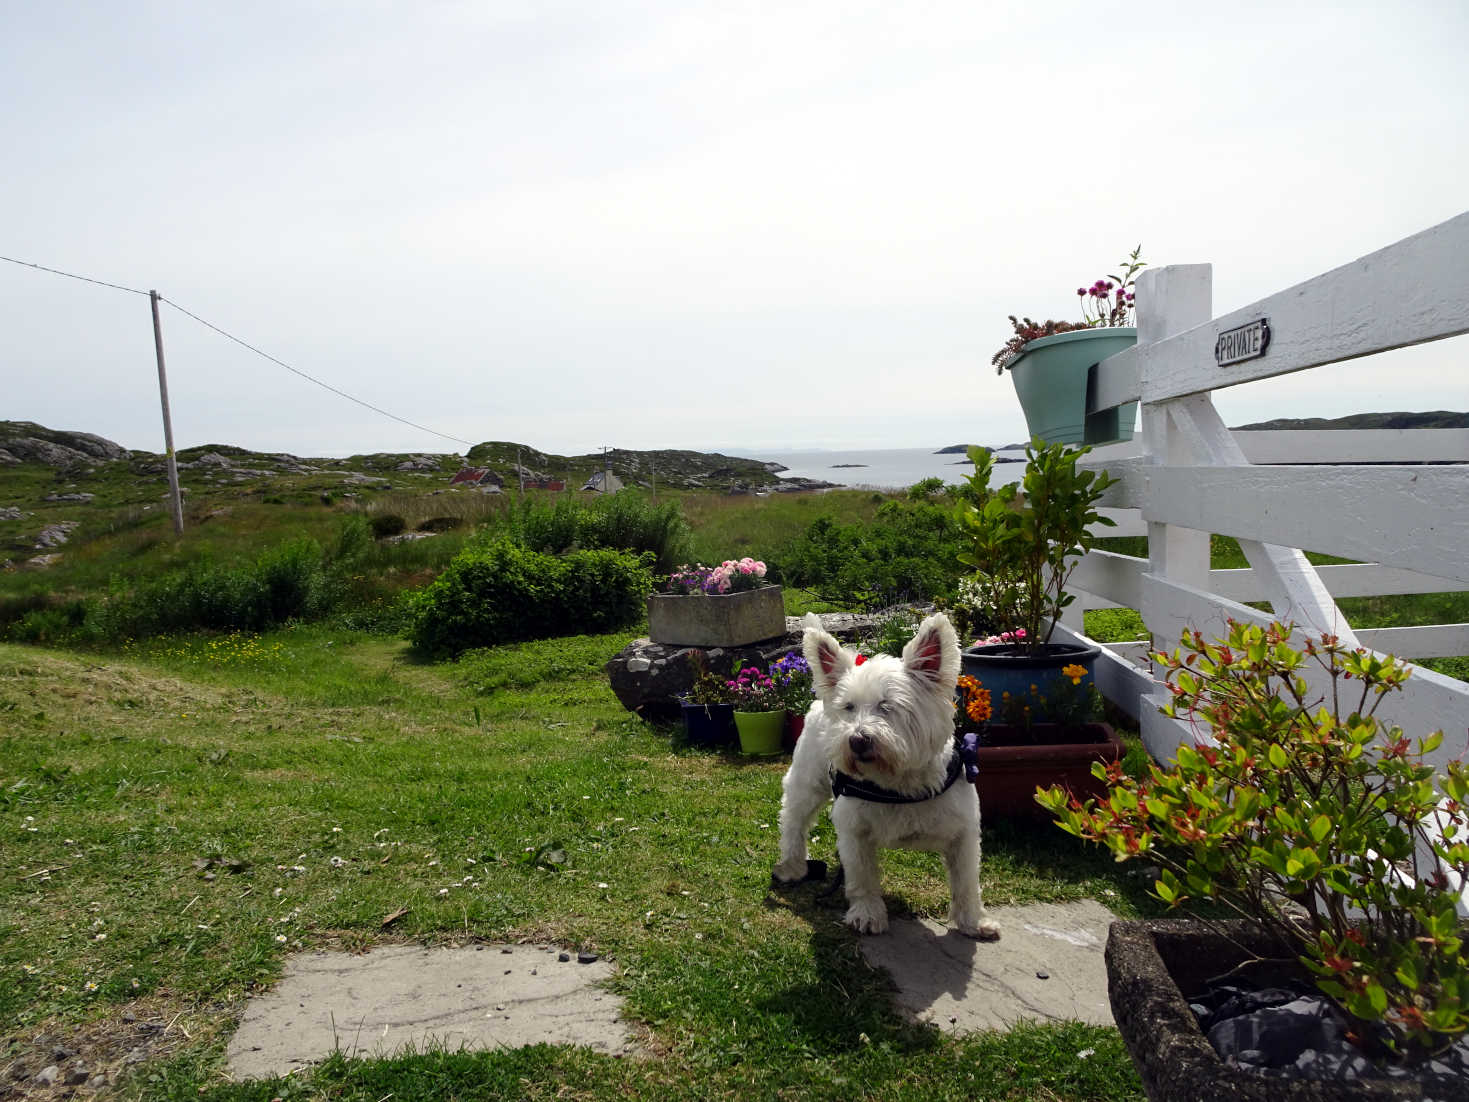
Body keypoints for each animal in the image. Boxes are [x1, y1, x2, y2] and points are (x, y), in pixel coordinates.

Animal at [769, 614, 998, 940]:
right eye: (848, 707)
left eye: (887, 706)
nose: (857, 740)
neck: (898, 784)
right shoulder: (854, 830)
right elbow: (862, 876)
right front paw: (867, 915)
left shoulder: (963, 832)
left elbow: (966, 881)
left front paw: (974, 922)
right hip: (807, 781)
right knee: (793, 820)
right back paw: (792, 866)